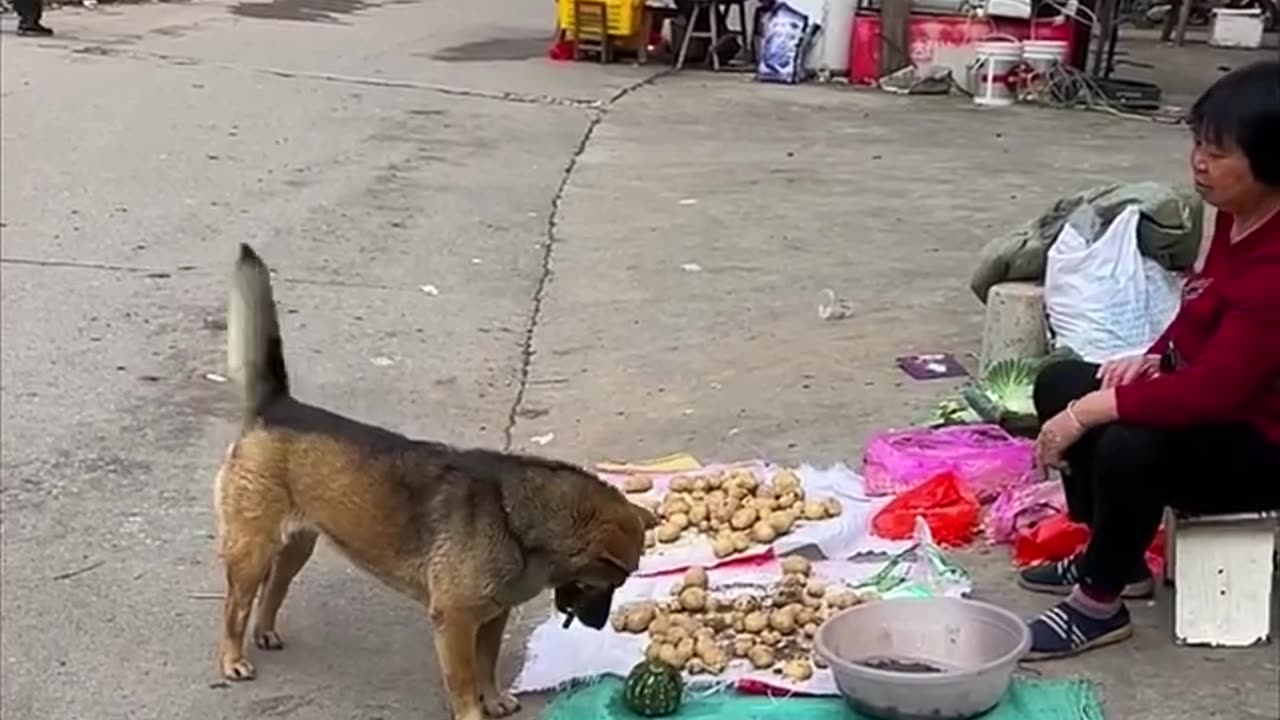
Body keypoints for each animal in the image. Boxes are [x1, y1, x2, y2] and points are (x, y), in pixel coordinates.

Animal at [213, 242, 655, 717]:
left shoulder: (492, 616)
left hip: (298, 544)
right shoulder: (455, 621)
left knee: (274, 586)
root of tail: (277, 405)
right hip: (252, 549)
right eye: (609, 583)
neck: (518, 521)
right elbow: (464, 678)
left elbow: (486, 664)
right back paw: (232, 658)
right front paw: (473, 711)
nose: (598, 625)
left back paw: (264, 630)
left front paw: (493, 698)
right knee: (236, 605)